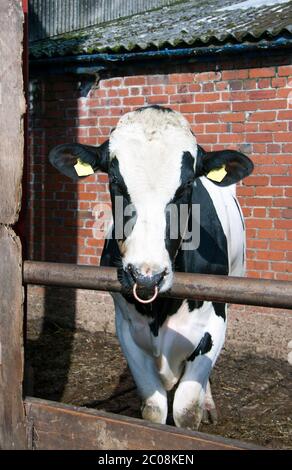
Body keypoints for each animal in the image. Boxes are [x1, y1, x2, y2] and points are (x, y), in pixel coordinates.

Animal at [49, 105, 252, 430]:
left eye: (187, 185)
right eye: (115, 181)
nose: (147, 277)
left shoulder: (215, 322)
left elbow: (186, 408)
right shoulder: (126, 328)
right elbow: (154, 409)